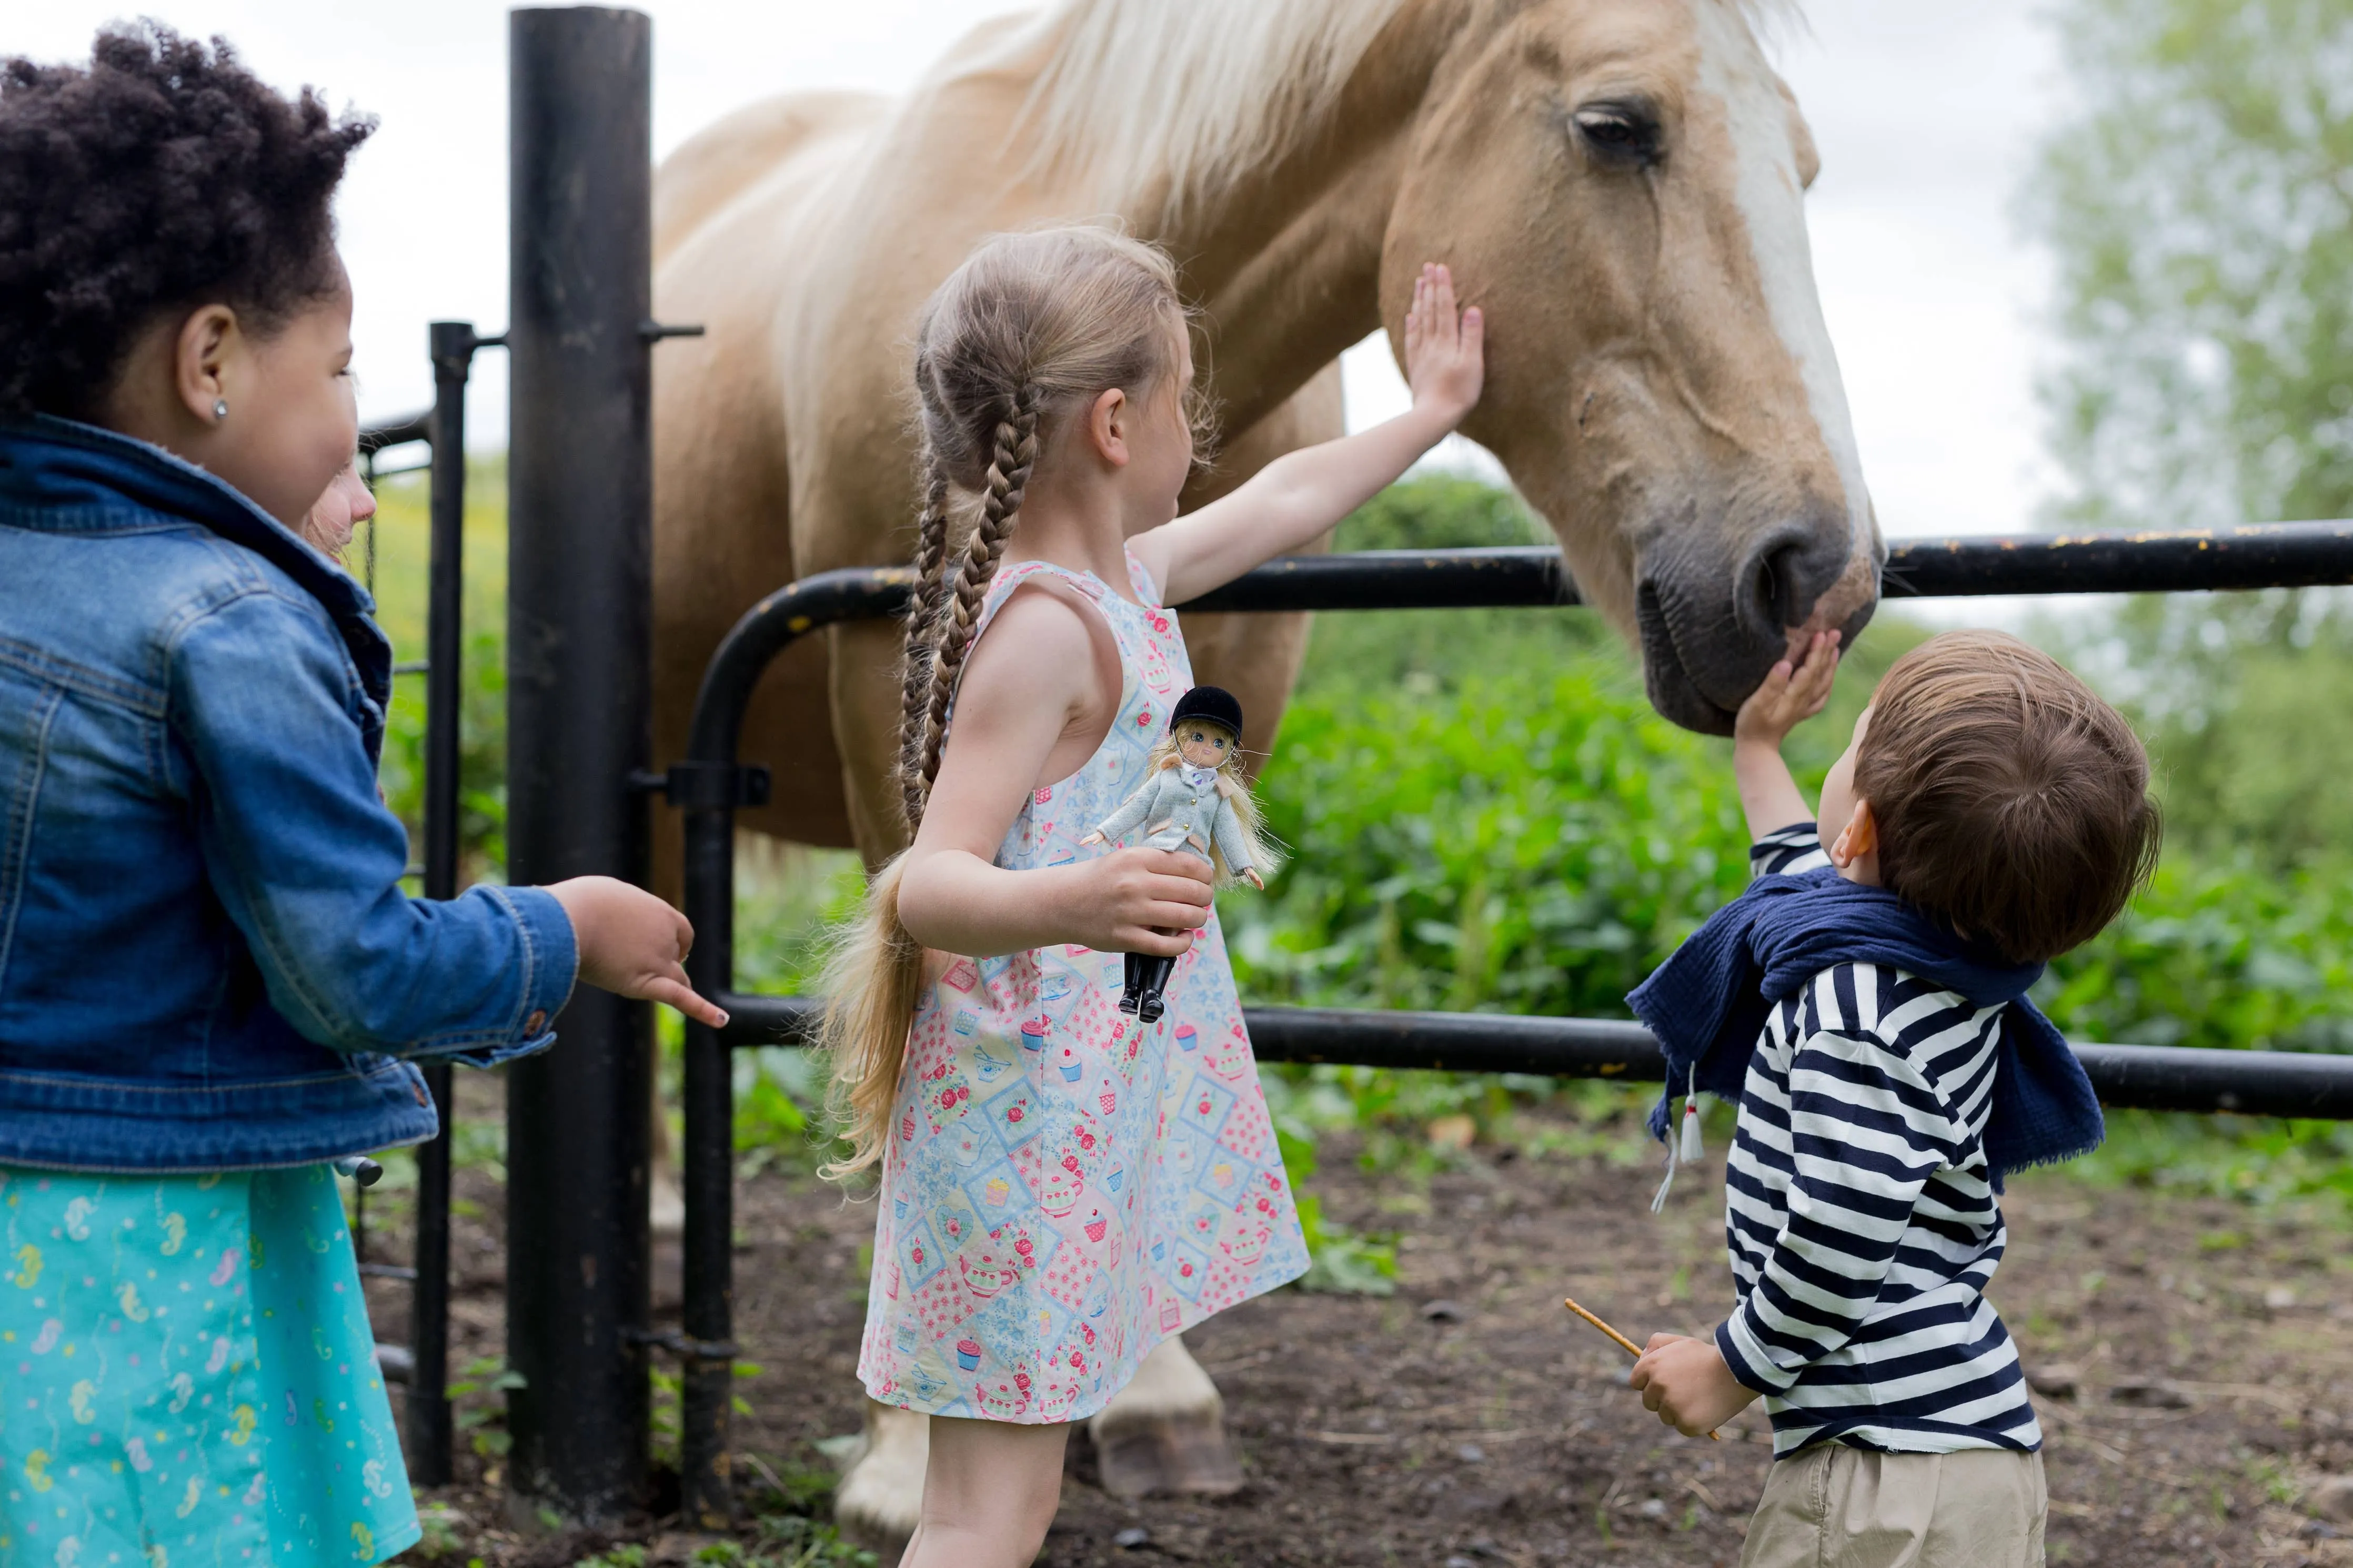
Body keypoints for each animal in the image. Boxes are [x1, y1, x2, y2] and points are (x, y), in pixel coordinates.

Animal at [654, 0, 1882, 1542]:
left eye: (1809, 163)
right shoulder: (901, 685)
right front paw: (899, 1454)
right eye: (1616, 127)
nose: (1819, 582)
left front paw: (1151, 1392)